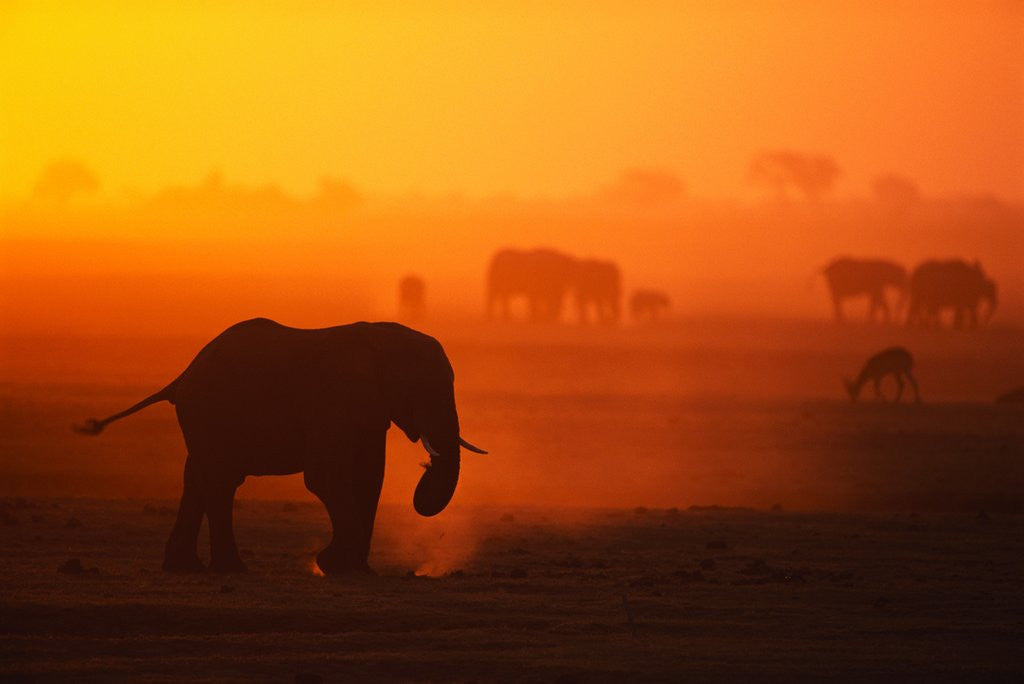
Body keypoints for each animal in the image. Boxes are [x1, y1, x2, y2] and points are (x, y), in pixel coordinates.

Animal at [74, 318, 486, 575]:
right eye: (420, 389)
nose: (425, 466)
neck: (382, 336)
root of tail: (181, 377)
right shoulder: (331, 403)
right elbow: (326, 478)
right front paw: (330, 564)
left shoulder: (368, 413)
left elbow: (369, 479)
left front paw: (357, 570)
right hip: (208, 413)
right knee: (220, 481)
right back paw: (231, 570)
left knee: (199, 479)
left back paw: (186, 568)